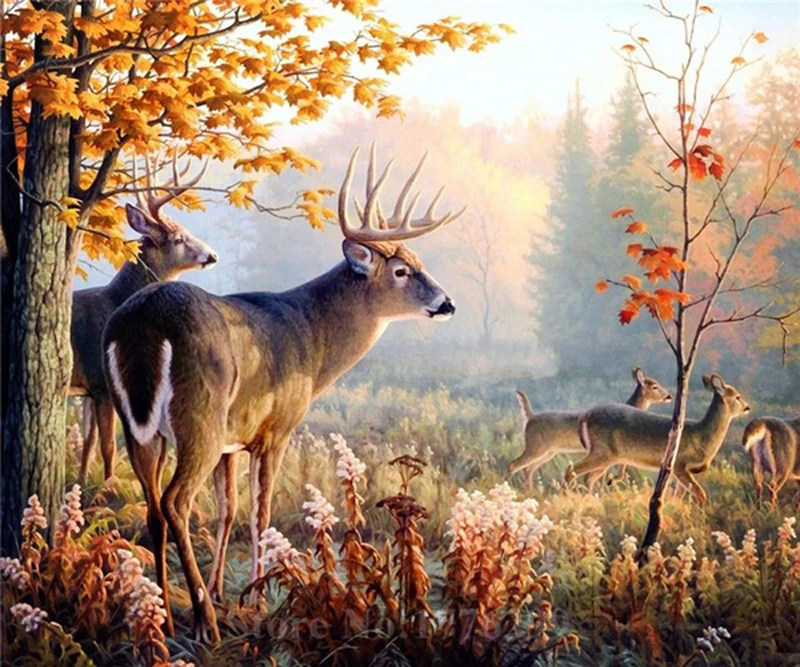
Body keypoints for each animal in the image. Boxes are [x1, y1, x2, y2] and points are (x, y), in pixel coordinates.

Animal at [70, 155, 217, 486]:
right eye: (179, 238)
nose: (212, 255)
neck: (115, 301)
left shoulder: (88, 389)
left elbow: (88, 443)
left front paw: (82, 482)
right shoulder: (102, 383)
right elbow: (108, 445)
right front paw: (109, 485)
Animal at [102, 144, 465, 643]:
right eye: (401, 270)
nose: (447, 303)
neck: (309, 339)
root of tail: (142, 323)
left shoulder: (234, 440)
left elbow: (229, 509)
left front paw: (224, 591)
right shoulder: (276, 429)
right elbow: (261, 512)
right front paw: (254, 600)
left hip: (140, 427)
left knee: (155, 509)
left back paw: (165, 615)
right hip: (199, 416)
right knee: (177, 502)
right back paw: (204, 623)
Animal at [508, 367, 672, 488]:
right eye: (655, 386)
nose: (669, 396)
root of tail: (530, 417)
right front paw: (608, 484)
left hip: (548, 452)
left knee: (528, 468)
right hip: (536, 446)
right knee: (514, 464)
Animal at [569, 374, 750, 503]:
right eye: (738, 397)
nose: (748, 407)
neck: (701, 436)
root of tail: (585, 416)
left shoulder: (681, 471)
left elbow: (679, 496)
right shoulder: (678, 464)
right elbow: (700, 493)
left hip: (607, 457)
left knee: (589, 478)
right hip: (602, 452)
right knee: (572, 471)